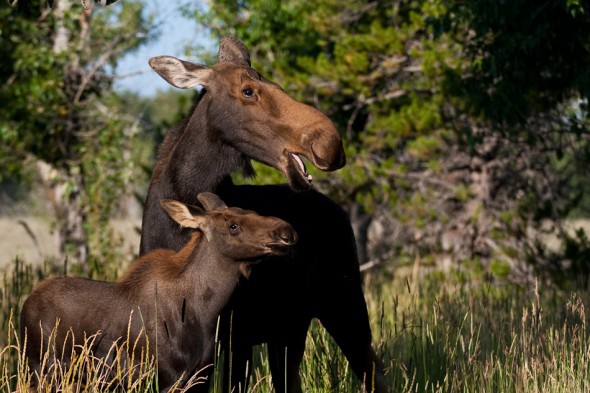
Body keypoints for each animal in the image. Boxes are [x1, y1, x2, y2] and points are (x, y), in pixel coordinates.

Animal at [20, 191, 298, 390]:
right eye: (233, 226)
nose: (286, 231)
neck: (205, 312)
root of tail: (26, 303)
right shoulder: (167, 377)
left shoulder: (200, 377)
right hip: (40, 368)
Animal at [144, 36, 390, 392]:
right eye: (248, 90)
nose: (330, 143)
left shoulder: (237, 334)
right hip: (289, 328)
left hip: (344, 306)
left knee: (375, 374)